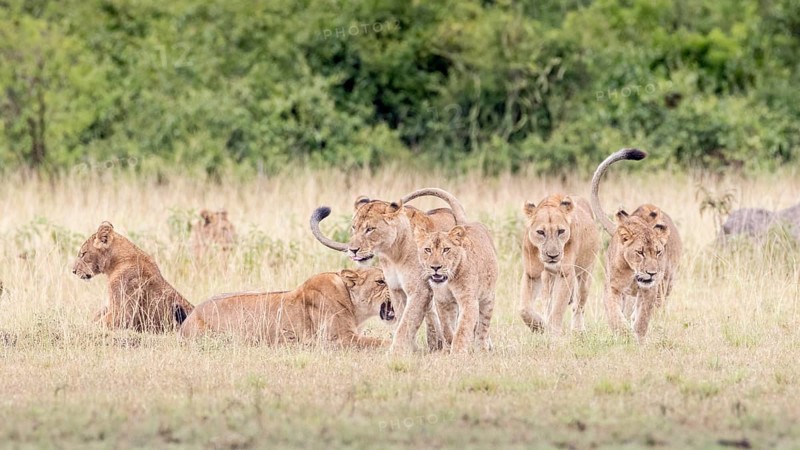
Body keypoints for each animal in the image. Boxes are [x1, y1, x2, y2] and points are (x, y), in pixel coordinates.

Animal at [310, 188, 467, 353]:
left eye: (370, 229)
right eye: (354, 227)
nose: (352, 250)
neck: (392, 254)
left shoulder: (419, 290)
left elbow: (407, 322)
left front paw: (396, 352)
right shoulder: (396, 289)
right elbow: (403, 321)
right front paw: (410, 350)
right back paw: (436, 345)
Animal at [415, 223, 498, 353]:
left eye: (446, 249)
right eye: (428, 250)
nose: (435, 267)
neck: (448, 281)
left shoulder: (469, 301)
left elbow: (462, 329)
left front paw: (457, 352)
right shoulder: (443, 301)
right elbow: (446, 327)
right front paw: (448, 347)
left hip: (487, 299)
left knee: (483, 327)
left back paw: (482, 349)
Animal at [519, 194, 600, 335]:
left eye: (561, 231)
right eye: (540, 232)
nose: (553, 255)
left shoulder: (565, 273)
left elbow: (558, 309)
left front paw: (553, 335)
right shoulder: (532, 273)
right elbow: (524, 309)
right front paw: (539, 326)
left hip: (586, 274)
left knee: (579, 305)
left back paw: (578, 330)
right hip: (547, 278)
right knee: (547, 301)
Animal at [591, 148, 682, 342]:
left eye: (658, 252)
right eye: (639, 252)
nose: (652, 272)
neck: (633, 273)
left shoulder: (651, 289)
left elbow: (643, 317)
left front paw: (637, 337)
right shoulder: (612, 288)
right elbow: (615, 315)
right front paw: (624, 336)